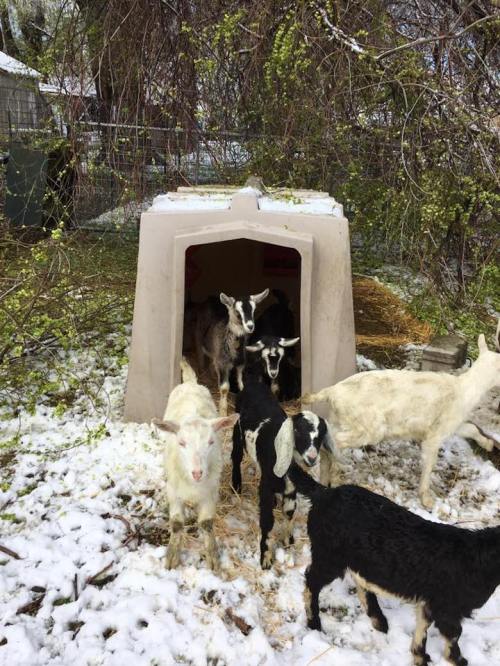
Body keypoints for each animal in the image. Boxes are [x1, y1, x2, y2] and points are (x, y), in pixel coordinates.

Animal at [153, 358, 239, 571]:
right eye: (182, 443)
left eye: (211, 442)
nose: (198, 473)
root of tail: (191, 382)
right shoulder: (173, 491)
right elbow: (176, 524)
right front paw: (172, 557)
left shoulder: (210, 492)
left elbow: (207, 523)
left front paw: (213, 558)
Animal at [231, 374, 335, 568]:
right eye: (298, 431)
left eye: (320, 436)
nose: (312, 458)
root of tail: (252, 384)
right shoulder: (266, 487)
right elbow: (267, 521)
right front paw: (265, 557)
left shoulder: (291, 488)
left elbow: (289, 512)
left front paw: (288, 541)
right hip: (236, 431)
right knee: (235, 457)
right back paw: (236, 487)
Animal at [288, 465, 500, 666]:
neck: (478, 558)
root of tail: (324, 494)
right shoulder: (447, 608)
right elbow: (455, 633)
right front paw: (457, 659)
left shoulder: (430, 602)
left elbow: (422, 629)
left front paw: (419, 657)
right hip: (329, 555)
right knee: (311, 581)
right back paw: (314, 623)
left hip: (358, 559)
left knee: (360, 582)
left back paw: (379, 621)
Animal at [303, 329, 500, 508]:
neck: (465, 389)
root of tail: (331, 392)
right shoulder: (435, 434)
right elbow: (430, 462)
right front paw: (426, 499)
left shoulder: (451, 424)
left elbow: (471, 429)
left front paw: (488, 444)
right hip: (368, 427)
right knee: (336, 442)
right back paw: (335, 477)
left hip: (338, 420)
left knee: (326, 443)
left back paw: (324, 480)